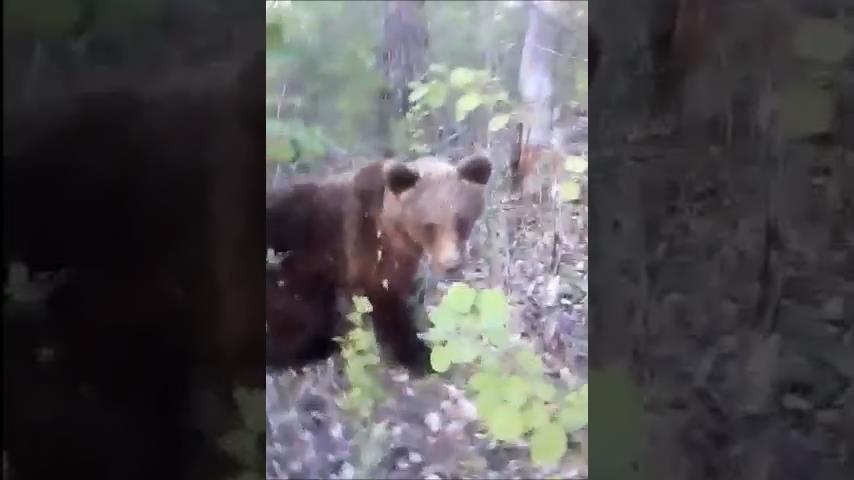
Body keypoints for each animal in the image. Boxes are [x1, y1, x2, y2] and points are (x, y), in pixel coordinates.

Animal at [265, 153, 492, 375]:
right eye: (429, 225)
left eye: (462, 220)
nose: (452, 263)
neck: (393, 227)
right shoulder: (366, 250)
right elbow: (385, 300)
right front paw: (420, 356)